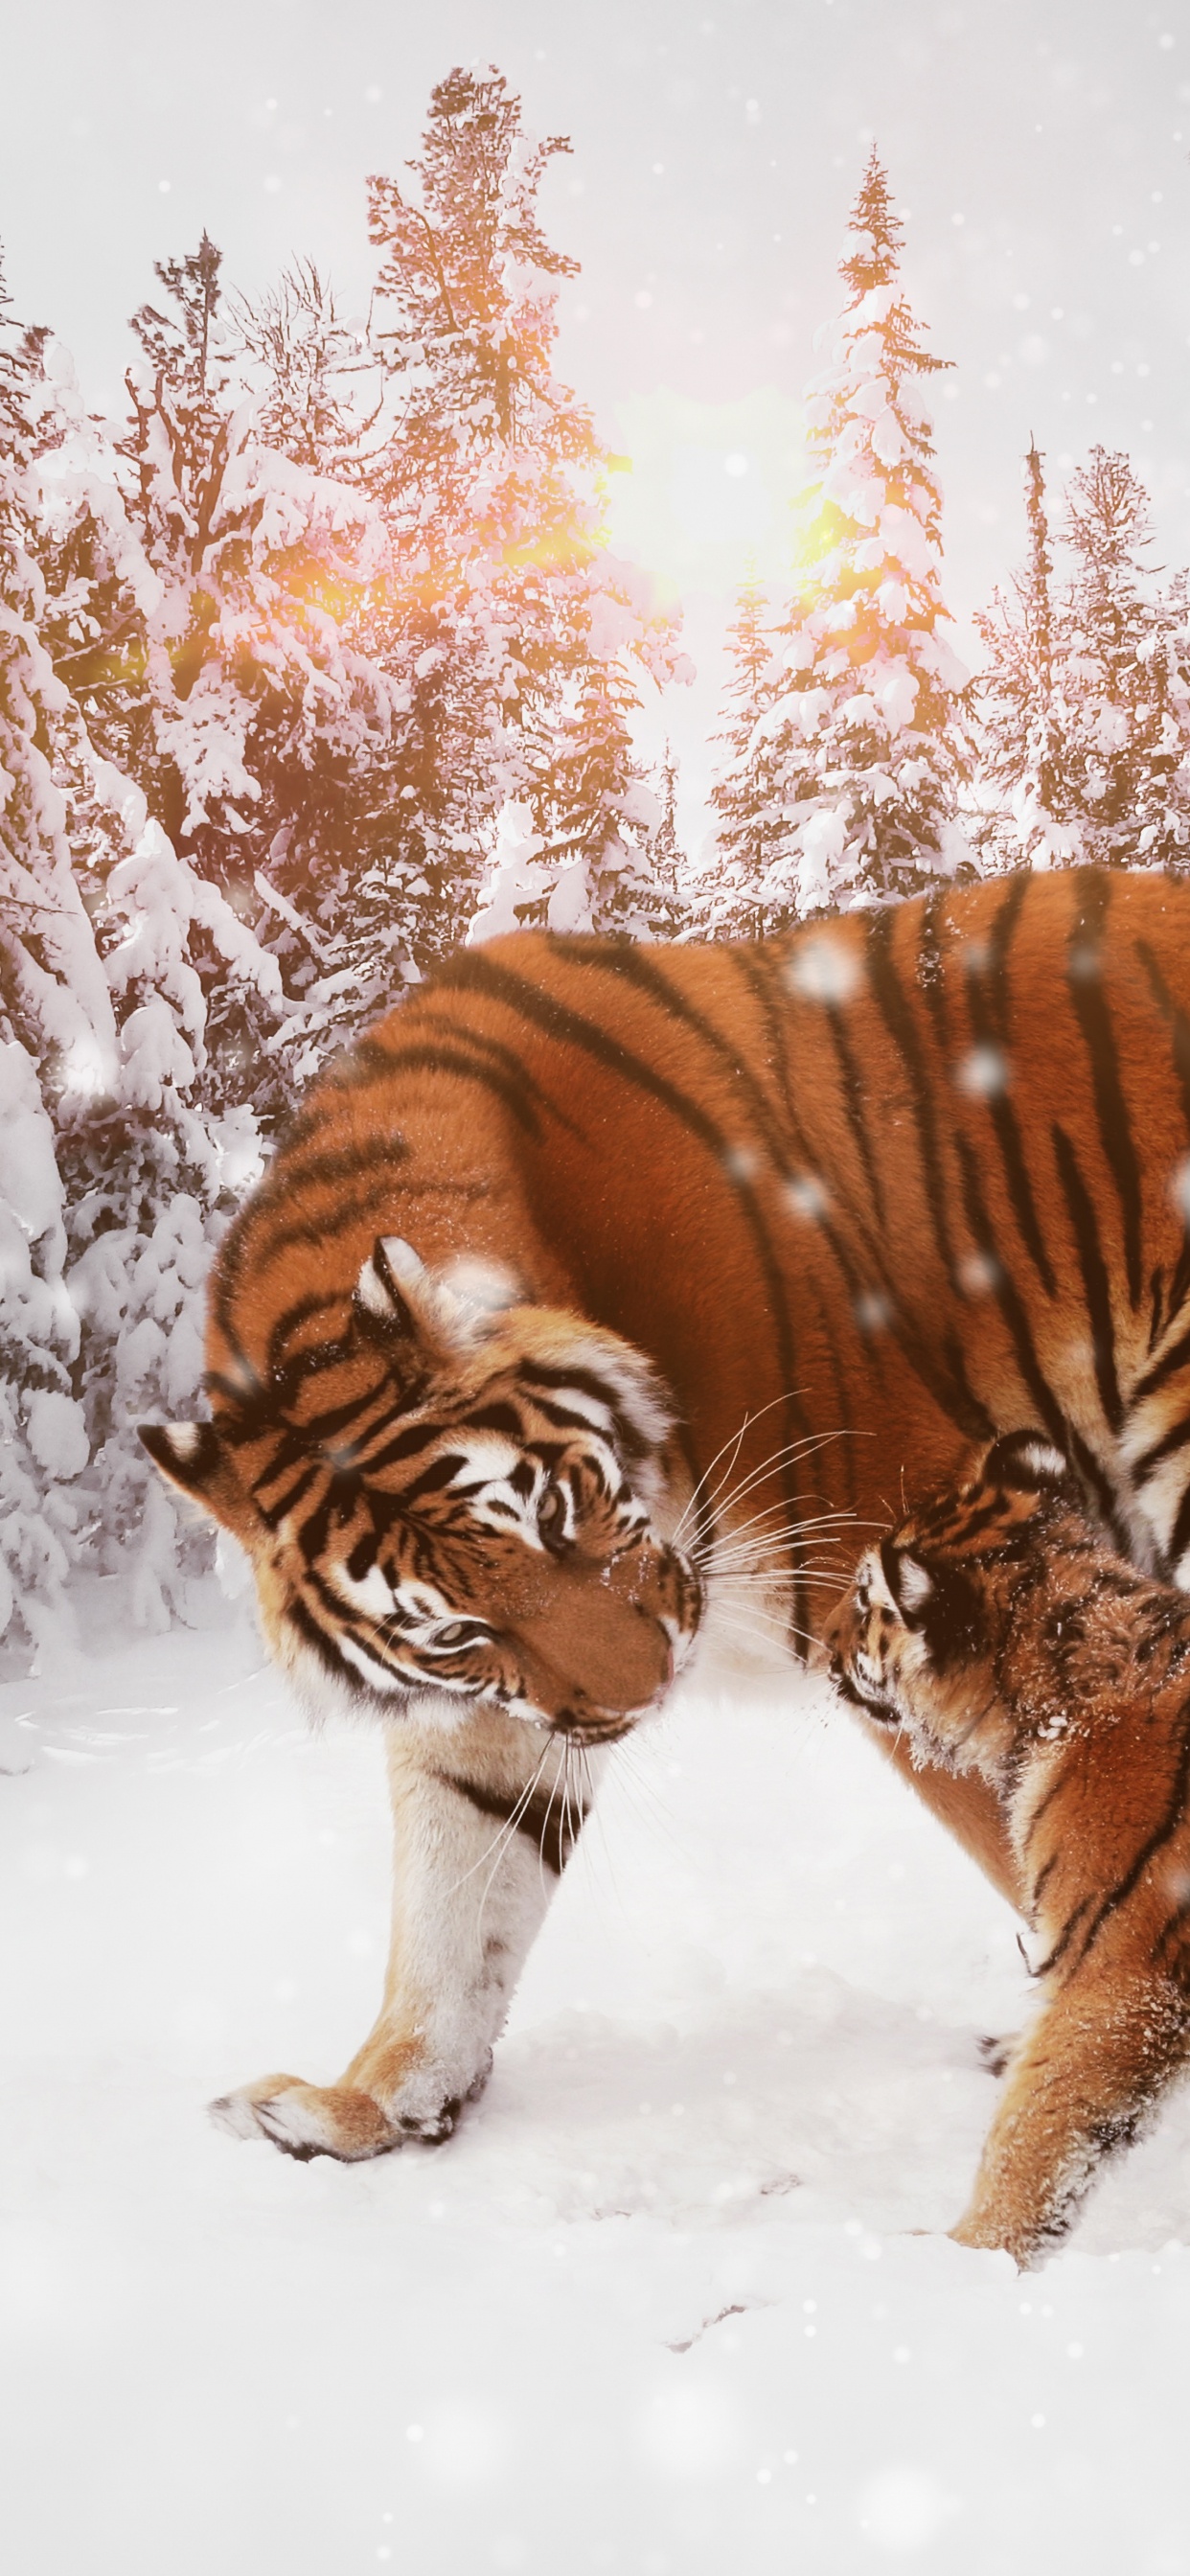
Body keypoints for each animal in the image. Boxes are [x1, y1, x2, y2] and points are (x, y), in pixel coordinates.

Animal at [141, 864, 1190, 2166]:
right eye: (457, 1632)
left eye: (552, 1512)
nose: (644, 1697)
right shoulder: (497, 1710)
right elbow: (452, 1899)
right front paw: (365, 2105)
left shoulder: (911, 1571)